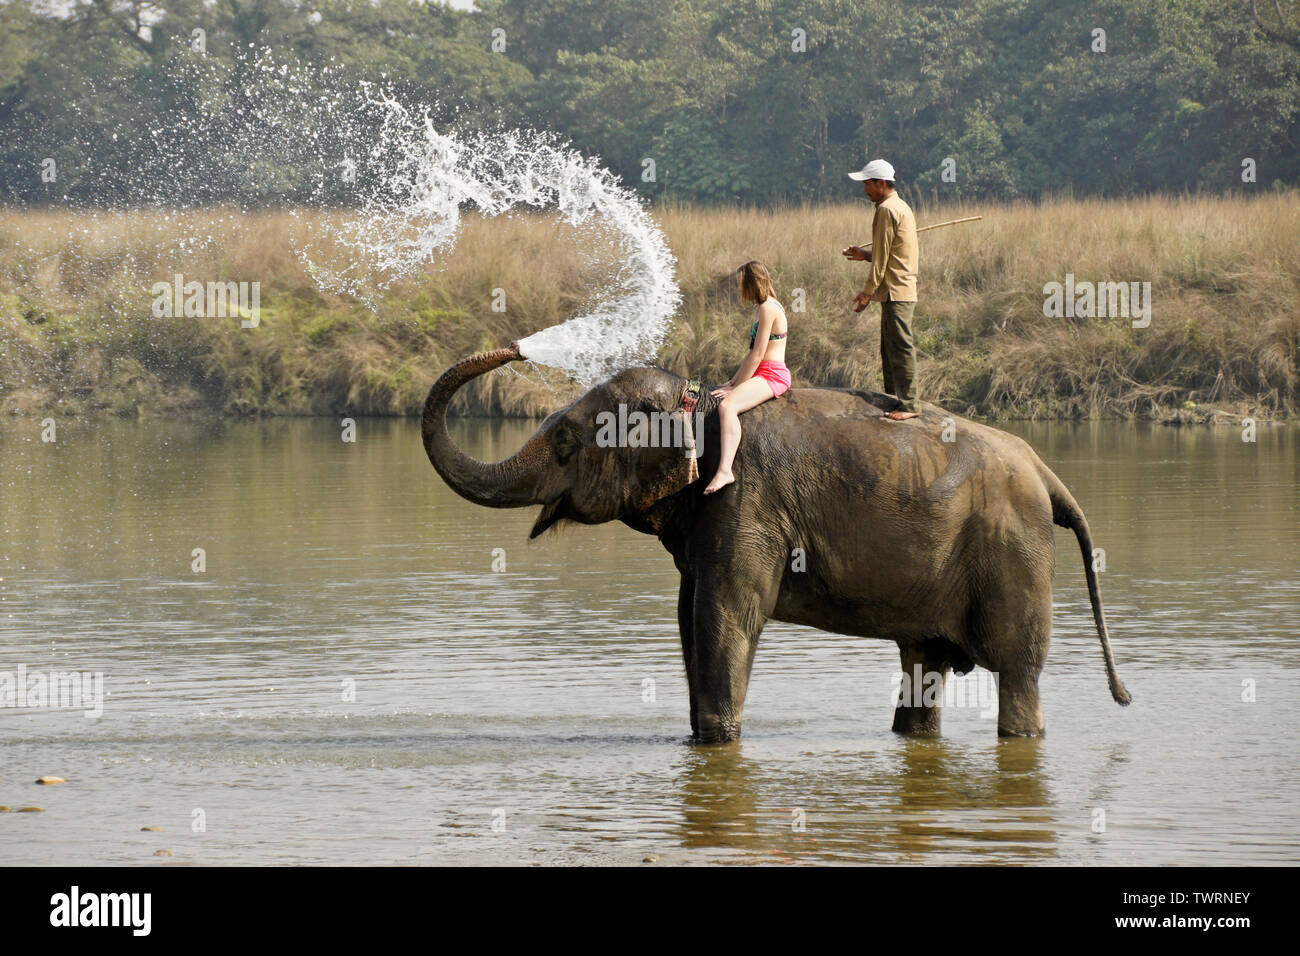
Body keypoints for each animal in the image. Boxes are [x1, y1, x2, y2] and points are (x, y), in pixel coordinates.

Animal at [422, 344, 1131, 743]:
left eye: (568, 441)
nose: (515, 349)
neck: (701, 401)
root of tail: (1047, 474)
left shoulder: (745, 500)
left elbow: (727, 616)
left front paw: (717, 742)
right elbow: (688, 617)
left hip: (1014, 551)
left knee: (1017, 671)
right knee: (922, 667)